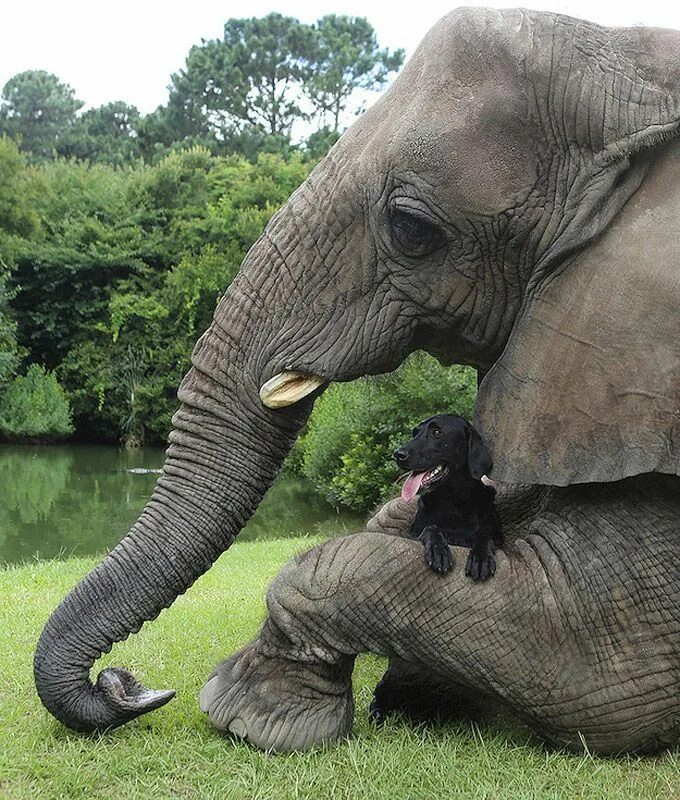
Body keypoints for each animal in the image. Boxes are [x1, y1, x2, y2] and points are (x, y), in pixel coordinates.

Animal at [396, 412, 502, 580]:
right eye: (414, 433)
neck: (453, 501)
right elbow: (430, 528)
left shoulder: (499, 538)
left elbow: (485, 535)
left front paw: (480, 558)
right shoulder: (412, 534)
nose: (398, 454)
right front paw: (438, 550)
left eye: (436, 432)